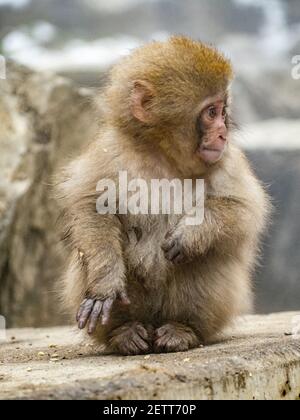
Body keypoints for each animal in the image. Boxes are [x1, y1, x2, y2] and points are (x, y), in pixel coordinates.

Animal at [55, 37, 270, 356]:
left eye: (222, 111)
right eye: (211, 113)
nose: (222, 133)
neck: (162, 155)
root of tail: (153, 323)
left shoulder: (228, 159)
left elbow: (243, 209)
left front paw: (192, 232)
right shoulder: (110, 149)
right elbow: (90, 206)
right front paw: (105, 282)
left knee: (206, 257)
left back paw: (182, 329)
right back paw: (125, 332)